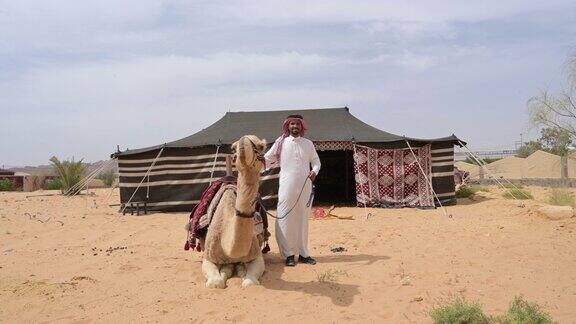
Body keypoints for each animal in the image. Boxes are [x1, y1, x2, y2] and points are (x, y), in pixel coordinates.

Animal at [201, 135, 266, 288]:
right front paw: (226, 272)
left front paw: (242, 271)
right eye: (232, 148)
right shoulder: (208, 257)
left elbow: (249, 283)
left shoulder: (257, 256)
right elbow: (215, 283)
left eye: (261, 146)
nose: (243, 141)